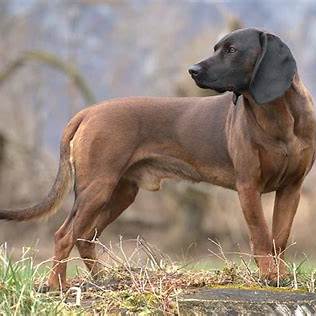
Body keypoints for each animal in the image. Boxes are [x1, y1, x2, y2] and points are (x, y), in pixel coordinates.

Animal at [0, 28, 316, 290]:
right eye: (217, 47)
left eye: (231, 50)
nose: (192, 70)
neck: (277, 118)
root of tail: (88, 112)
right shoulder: (248, 187)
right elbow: (261, 236)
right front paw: (270, 276)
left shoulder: (291, 189)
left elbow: (279, 238)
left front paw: (281, 275)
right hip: (97, 189)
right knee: (64, 235)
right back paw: (56, 285)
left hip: (120, 194)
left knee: (84, 236)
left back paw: (103, 279)